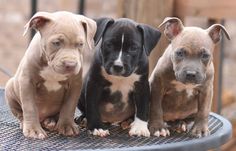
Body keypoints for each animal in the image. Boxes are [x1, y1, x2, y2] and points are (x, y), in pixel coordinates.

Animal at [4, 11, 96, 139]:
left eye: (80, 44)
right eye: (56, 43)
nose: (71, 64)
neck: (50, 66)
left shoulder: (75, 84)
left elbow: (69, 106)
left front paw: (67, 126)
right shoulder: (27, 81)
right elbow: (29, 107)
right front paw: (34, 130)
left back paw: (50, 122)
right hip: (10, 87)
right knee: (20, 113)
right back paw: (26, 123)